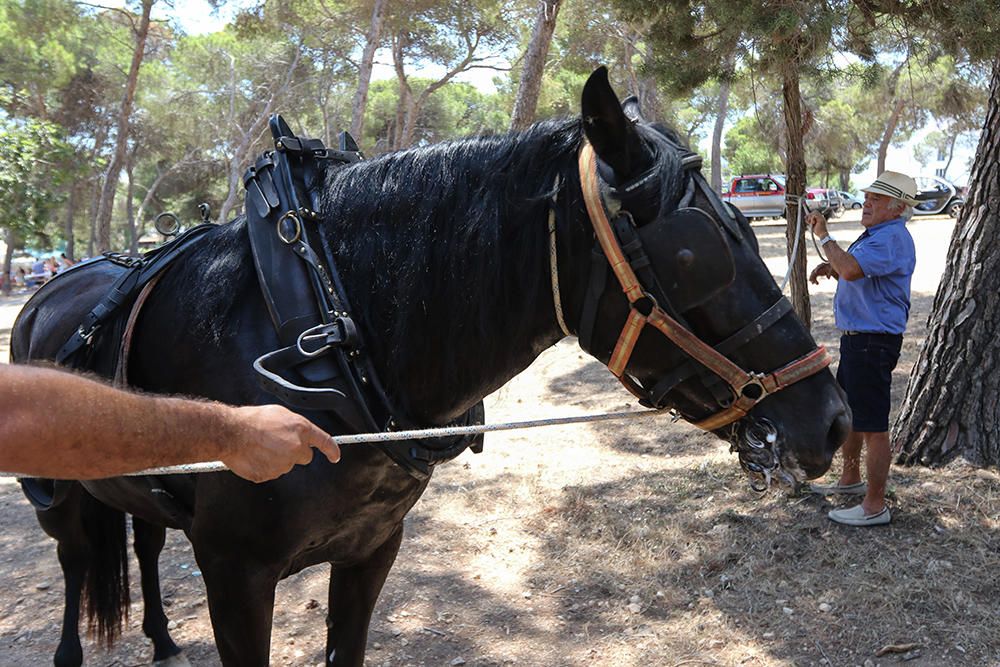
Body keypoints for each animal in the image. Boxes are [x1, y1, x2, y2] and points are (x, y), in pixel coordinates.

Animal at [11, 69, 848, 667]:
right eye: (697, 247)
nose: (833, 419)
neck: (324, 324)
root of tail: (48, 291)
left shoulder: (372, 549)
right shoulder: (233, 574)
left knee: (146, 544)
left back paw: (159, 636)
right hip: (60, 498)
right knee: (77, 563)